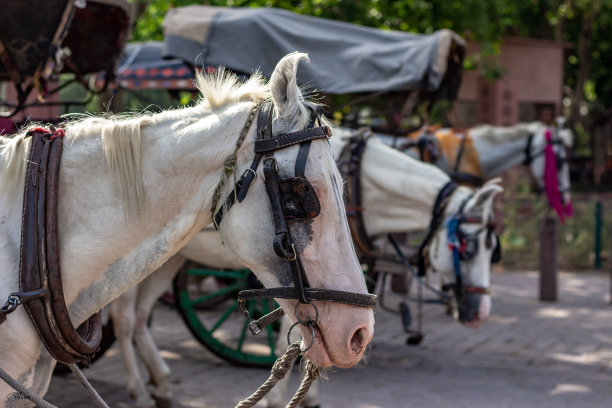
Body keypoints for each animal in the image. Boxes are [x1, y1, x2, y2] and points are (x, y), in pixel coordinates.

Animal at [110, 130, 502, 404]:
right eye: (467, 247)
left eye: (492, 250)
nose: (482, 313)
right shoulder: (296, 283)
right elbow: (299, 335)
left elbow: (314, 340)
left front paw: (309, 396)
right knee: (125, 319)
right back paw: (137, 388)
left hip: (169, 258)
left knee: (141, 318)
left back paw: (160, 381)